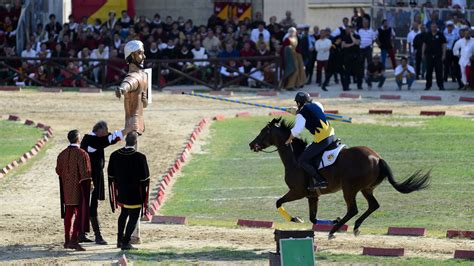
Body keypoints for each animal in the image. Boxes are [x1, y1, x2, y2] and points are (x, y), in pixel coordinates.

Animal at [250, 118, 432, 239]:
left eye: (263, 132)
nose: (251, 144)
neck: (295, 158)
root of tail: (377, 158)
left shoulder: (297, 192)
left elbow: (278, 202)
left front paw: (295, 219)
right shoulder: (312, 196)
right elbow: (313, 218)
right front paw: (332, 220)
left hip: (349, 188)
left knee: (353, 209)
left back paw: (333, 231)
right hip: (366, 188)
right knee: (373, 205)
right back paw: (354, 227)